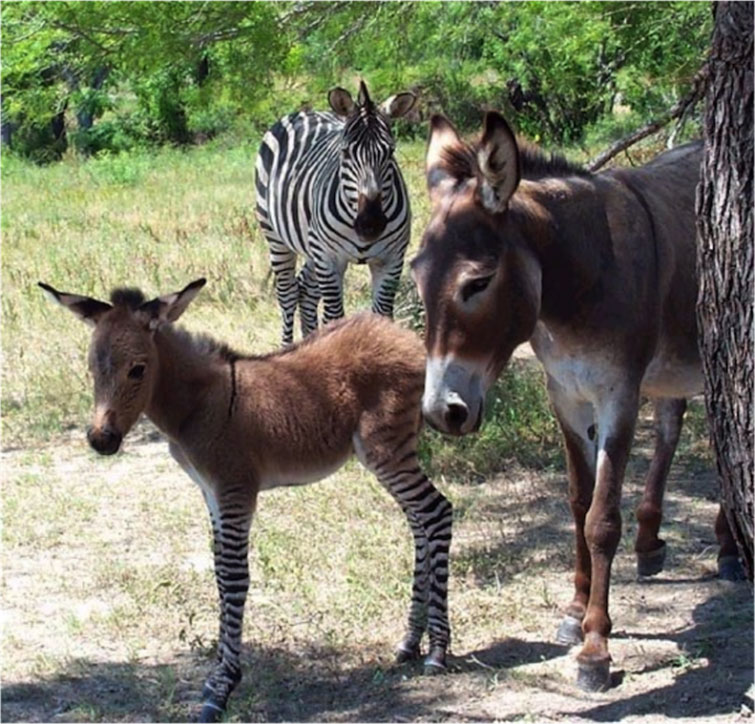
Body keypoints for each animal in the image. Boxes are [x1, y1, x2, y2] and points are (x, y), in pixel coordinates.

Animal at [41, 278, 452, 724]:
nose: (101, 441)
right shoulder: (211, 494)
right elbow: (220, 576)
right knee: (419, 523)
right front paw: (217, 677)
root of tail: (404, 336)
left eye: (138, 369)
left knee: (437, 512)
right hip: (393, 452)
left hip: (386, 450)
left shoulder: (235, 491)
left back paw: (439, 651)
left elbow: (234, 579)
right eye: (91, 369)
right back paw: (410, 643)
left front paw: (221, 688)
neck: (197, 406)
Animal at [256, 82, 416, 346]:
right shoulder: (330, 258)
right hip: (276, 237)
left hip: (312, 246)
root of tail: (305, 112)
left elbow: (382, 316)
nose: (370, 224)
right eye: (346, 152)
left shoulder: (392, 259)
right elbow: (334, 318)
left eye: (390, 152)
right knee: (287, 295)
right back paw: (287, 347)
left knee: (306, 291)